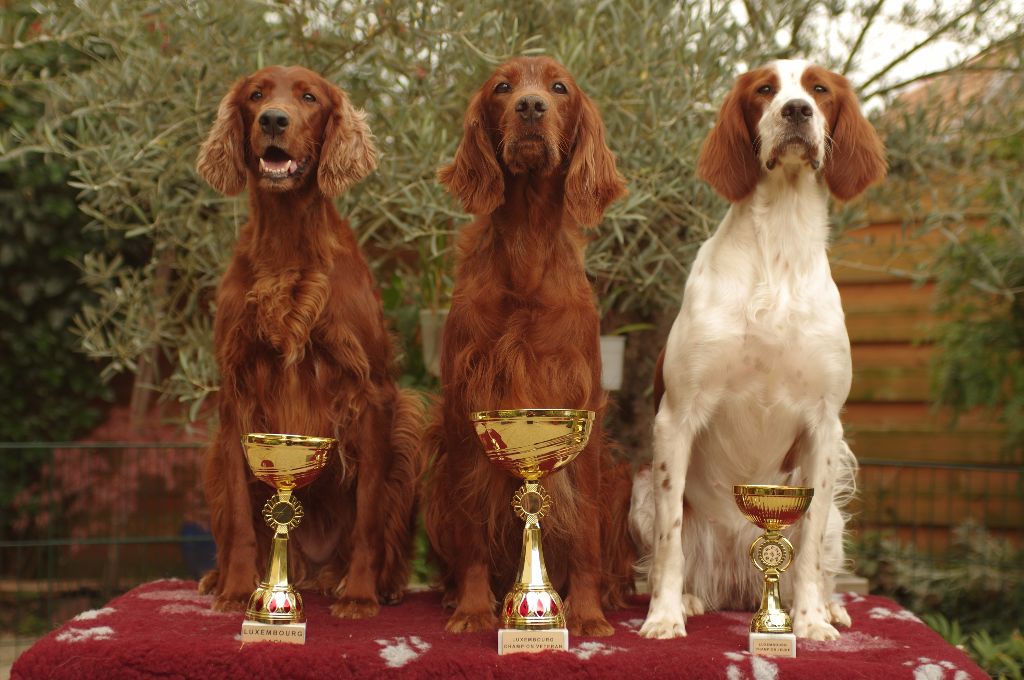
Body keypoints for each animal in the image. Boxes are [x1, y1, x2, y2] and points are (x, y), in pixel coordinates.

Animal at [193, 66, 421, 618]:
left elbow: (368, 515)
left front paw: (360, 596)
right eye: (256, 95)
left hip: (409, 429)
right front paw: (238, 591)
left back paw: (381, 585)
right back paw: (220, 576)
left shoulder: (371, 394)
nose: (274, 119)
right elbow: (240, 514)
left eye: (310, 98)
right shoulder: (235, 398)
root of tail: (314, 567)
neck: (288, 241)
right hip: (212, 455)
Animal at [421, 55, 630, 634]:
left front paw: (586, 614)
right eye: (502, 87)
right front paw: (473, 609)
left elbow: (583, 534)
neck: (526, 247)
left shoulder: (579, 407)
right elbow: (472, 526)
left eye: (559, 87)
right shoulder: (467, 408)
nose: (531, 106)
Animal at [626, 58, 884, 639]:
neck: (779, 251)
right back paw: (690, 599)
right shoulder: (676, 416)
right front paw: (664, 618)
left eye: (819, 89)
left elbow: (807, 549)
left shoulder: (824, 426)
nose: (796, 111)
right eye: (765, 90)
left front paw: (810, 623)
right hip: (643, 493)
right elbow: (670, 543)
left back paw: (829, 607)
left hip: (830, 510)